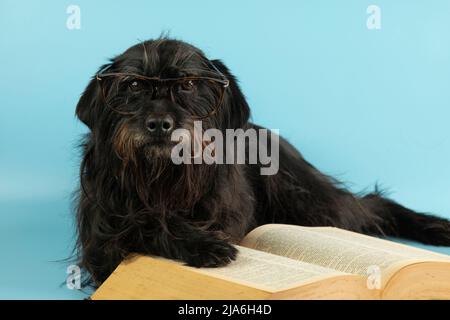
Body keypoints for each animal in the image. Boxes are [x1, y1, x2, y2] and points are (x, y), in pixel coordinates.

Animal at [75, 37, 450, 284]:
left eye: (190, 84)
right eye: (133, 85)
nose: (158, 123)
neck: (164, 178)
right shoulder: (102, 233)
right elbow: (145, 222)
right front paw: (203, 244)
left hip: (310, 201)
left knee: (371, 207)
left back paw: (434, 226)